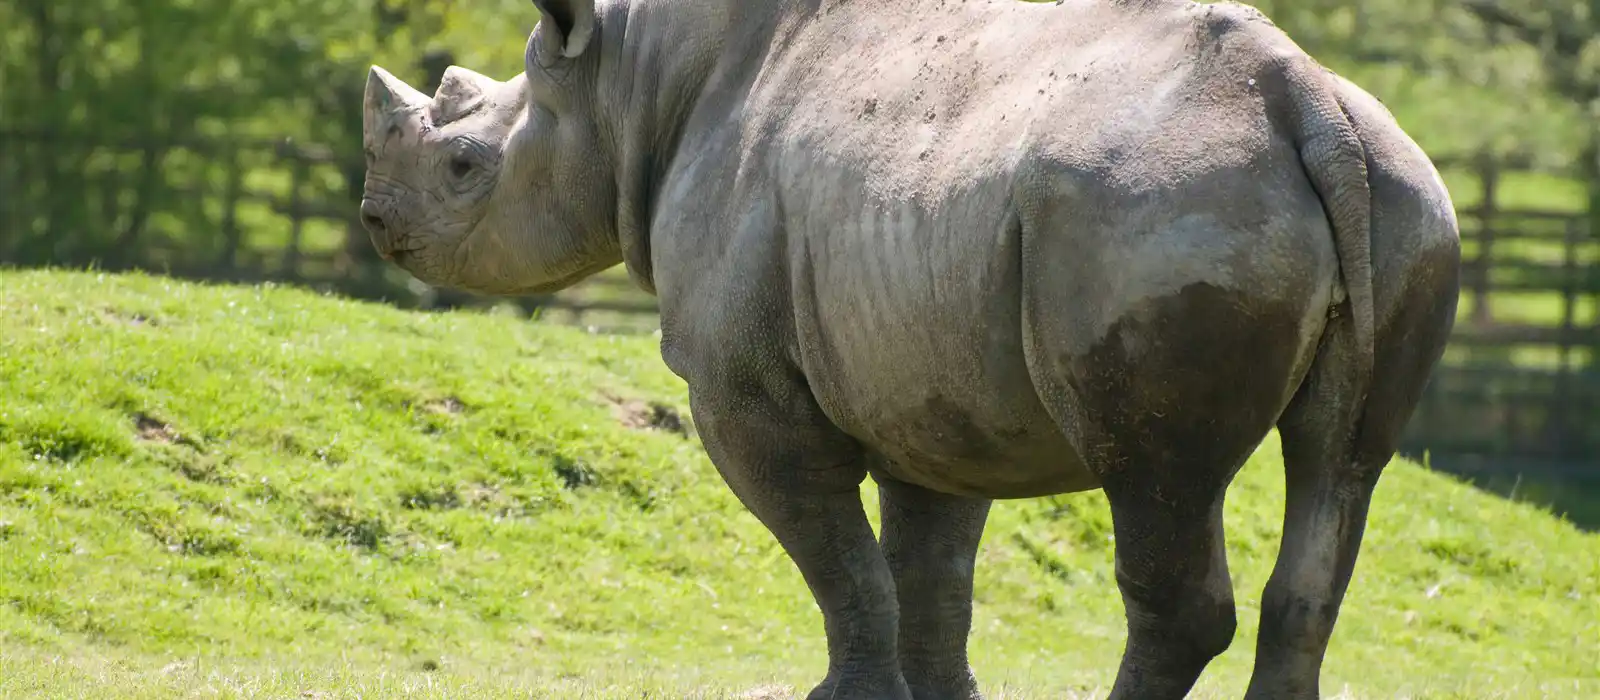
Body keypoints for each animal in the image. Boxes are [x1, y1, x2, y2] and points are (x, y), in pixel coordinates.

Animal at [360, 1, 1465, 693]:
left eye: (463, 166)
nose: (375, 220)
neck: (627, 87)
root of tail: (1302, 98)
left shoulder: (743, 392)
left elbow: (836, 555)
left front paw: (848, 694)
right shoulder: (930, 380)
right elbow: (929, 567)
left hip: (1153, 211)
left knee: (1160, 486)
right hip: (1403, 197)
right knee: (1339, 470)